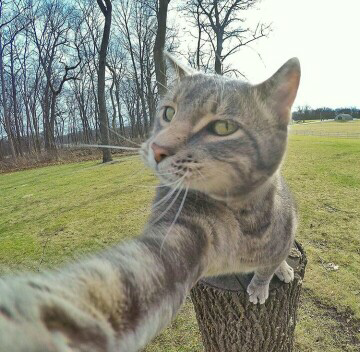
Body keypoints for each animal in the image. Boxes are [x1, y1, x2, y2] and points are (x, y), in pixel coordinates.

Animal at [0, 53, 300, 350]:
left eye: (223, 127)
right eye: (169, 113)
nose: (157, 148)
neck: (242, 216)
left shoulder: (281, 235)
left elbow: (267, 267)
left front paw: (262, 284)